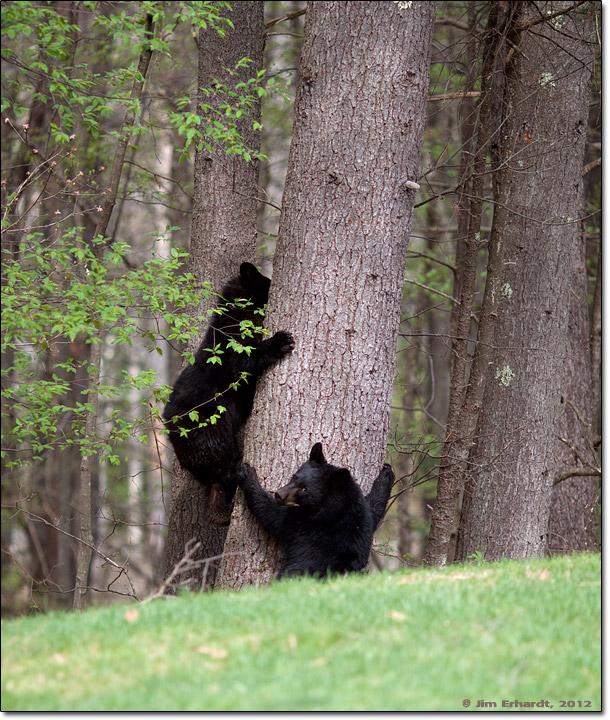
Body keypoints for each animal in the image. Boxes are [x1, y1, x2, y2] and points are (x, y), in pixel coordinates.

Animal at [237, 442, 394, 578]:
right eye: (294, 476)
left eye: (304, 489)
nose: (278, 495)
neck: (337, 506)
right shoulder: (363, 515)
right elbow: (374, 507)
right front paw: (386, 474)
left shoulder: (307, 521)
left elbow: (274, 518)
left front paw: (247, 475)